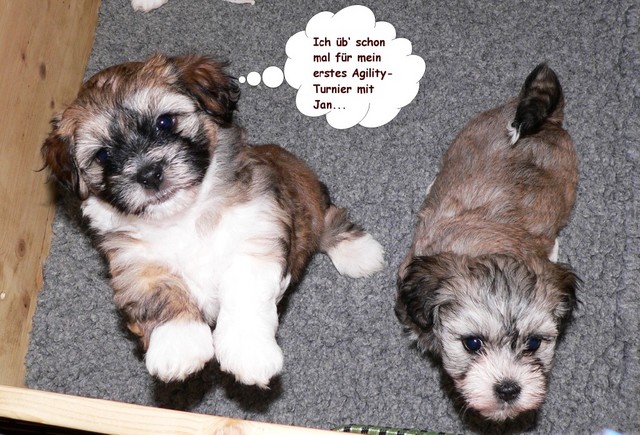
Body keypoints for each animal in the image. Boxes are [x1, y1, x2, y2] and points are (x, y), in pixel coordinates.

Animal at [41, 54, 385, 387]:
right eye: (103, 156)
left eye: (165, 121)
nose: (148, 174)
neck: (186, 215)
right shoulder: (135, 264)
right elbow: (160, 294)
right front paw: (179, 345)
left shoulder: (257, 235)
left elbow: (244, 290)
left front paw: (248, 350)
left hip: (309, 198)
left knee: (327, 218)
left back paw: (358, 252)